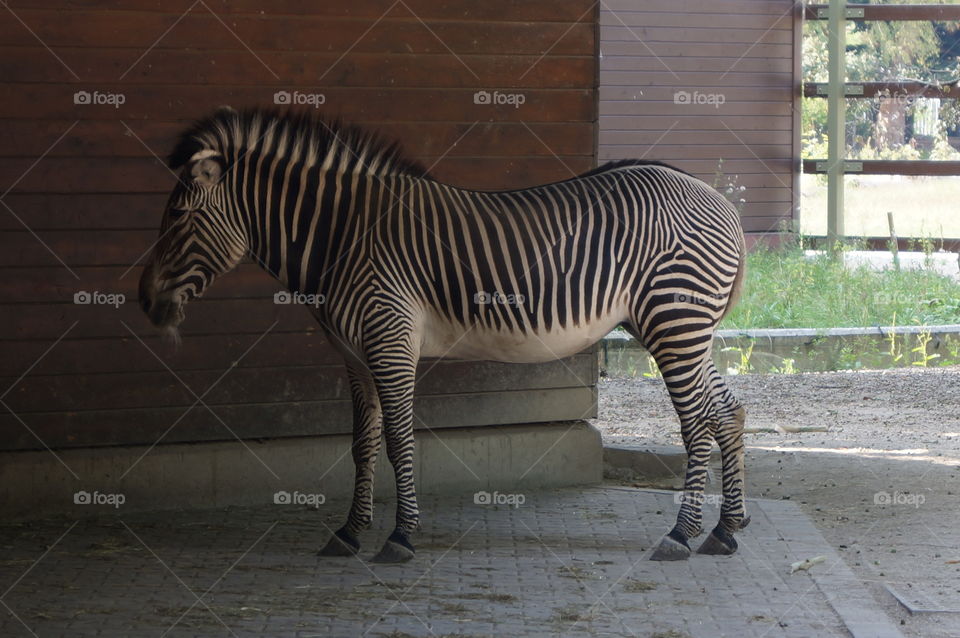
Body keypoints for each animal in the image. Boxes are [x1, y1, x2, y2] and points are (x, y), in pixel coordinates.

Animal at [139, 106, 748, 563]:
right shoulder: (353, 355)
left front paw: (400, 536)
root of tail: (717, 198)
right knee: (727, 409)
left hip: (673, 322)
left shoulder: (389, 342)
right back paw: (725, 529)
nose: (144, 301)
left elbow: (399, 440)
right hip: (685, 329)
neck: (344, 237)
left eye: (181, 217)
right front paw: (349, 532)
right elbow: (361, 444)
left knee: (696, 422)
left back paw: (681, 534)